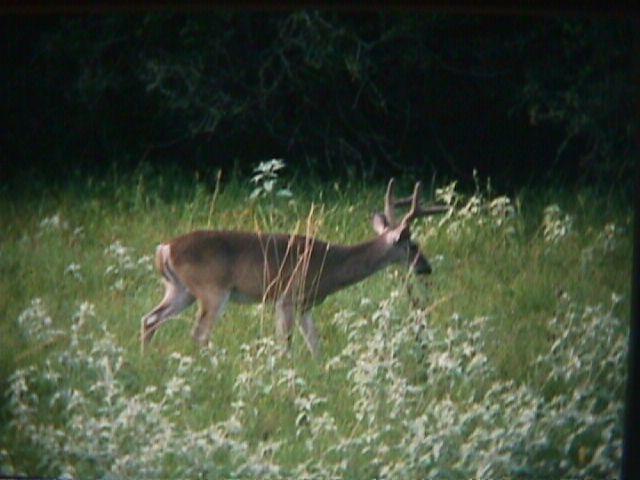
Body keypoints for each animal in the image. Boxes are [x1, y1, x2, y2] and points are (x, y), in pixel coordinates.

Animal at [142, 180, 448, 356]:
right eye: (413, 246)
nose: (427, 267)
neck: (331, 265)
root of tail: (165, 249)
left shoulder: (306, 304)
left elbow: (315, 343)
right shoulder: (287, 297)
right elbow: (286, 344)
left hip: (180, 290)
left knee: (150, 319)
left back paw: (147, 360)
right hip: (212, 290)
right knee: (199, 334)